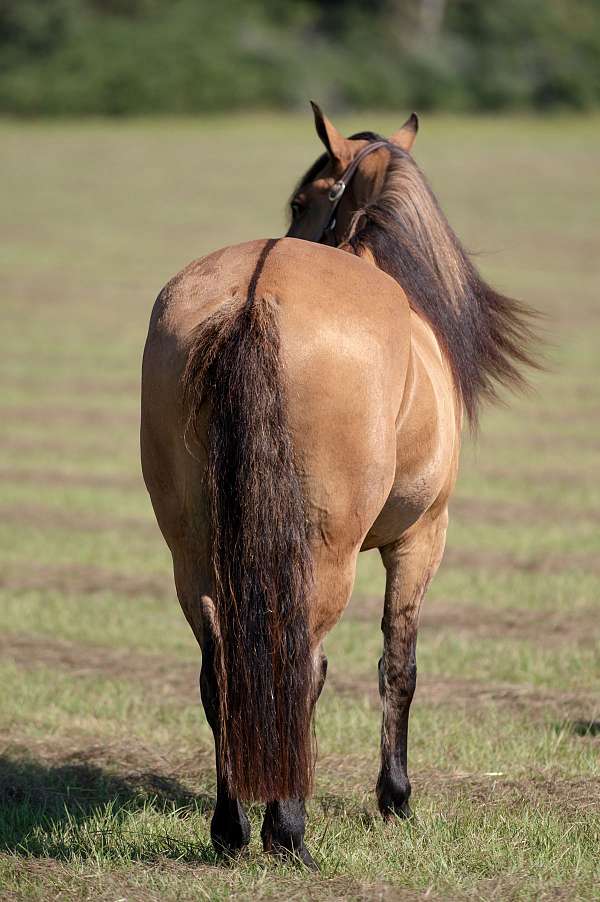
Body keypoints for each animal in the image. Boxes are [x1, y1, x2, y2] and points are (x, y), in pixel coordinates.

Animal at [142, 104, 540, 868]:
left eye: (303, 201)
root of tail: (256, 294)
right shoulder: (422, 537)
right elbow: (399, 665)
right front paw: (396, 798)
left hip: (193, 550)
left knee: (221, 668)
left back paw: (231, 828)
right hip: (324, 553)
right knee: (301, 663)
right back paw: (288, 830)